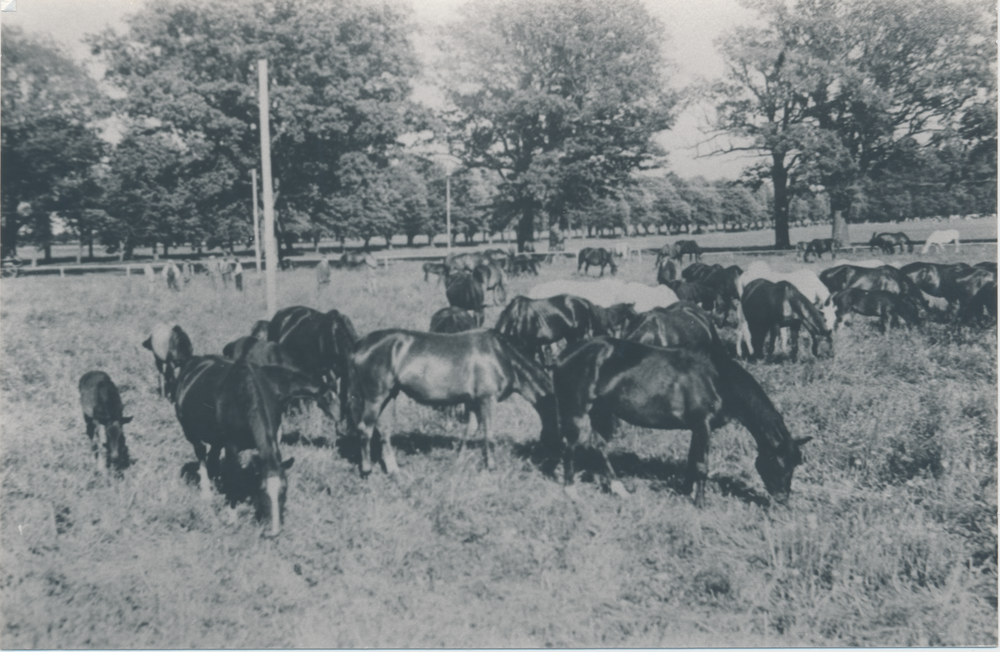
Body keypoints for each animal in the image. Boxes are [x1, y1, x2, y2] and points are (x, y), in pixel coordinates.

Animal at [348, 332, 560, 474]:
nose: (550, 462)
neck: (503, 355)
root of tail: (360, 344)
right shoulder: (487, 400)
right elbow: (489, 435)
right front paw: (491, 466)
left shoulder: (474, 402)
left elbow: (469, 432)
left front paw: (459, 461)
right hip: (376, 397)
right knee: (365, 429)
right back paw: (366, 469)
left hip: (389, 395)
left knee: (384, 430)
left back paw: (393, 470)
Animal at [548, 338, 812, 506]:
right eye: (778, 463)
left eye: (795, 463)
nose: (782, 500)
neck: (716, 378)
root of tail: (562, 356)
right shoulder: (703, 425)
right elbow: (702, 466)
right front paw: (701, 503)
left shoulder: (697, 427)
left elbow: (692, 461)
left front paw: (686, 492)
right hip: (577, 409)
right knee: (571, 444)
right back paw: (571, 490)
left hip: (600, 411)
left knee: (598, 446)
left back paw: (619, 489)